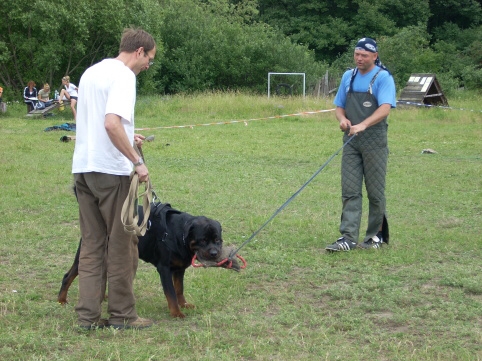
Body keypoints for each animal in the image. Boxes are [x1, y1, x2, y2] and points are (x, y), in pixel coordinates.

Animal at [59, 202, 225, 318]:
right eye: (202, 240)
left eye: (217, 240)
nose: (214, 253)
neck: (179, 236)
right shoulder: (164, 269)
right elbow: (171, 293)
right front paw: (176, 312)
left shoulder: (179, 269)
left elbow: (179, 289)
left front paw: (183, 304)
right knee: (68, 276)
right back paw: (61, 300)